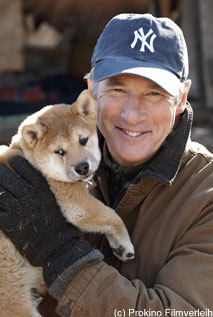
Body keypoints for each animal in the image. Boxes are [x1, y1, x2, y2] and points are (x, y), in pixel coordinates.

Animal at [0, 89, 135, 316]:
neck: (29, 159)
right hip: (14, 302)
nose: (82, 167)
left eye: (83, 140)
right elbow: (112, 216)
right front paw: (124, 245)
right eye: (59, 151)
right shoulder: (74, 202)